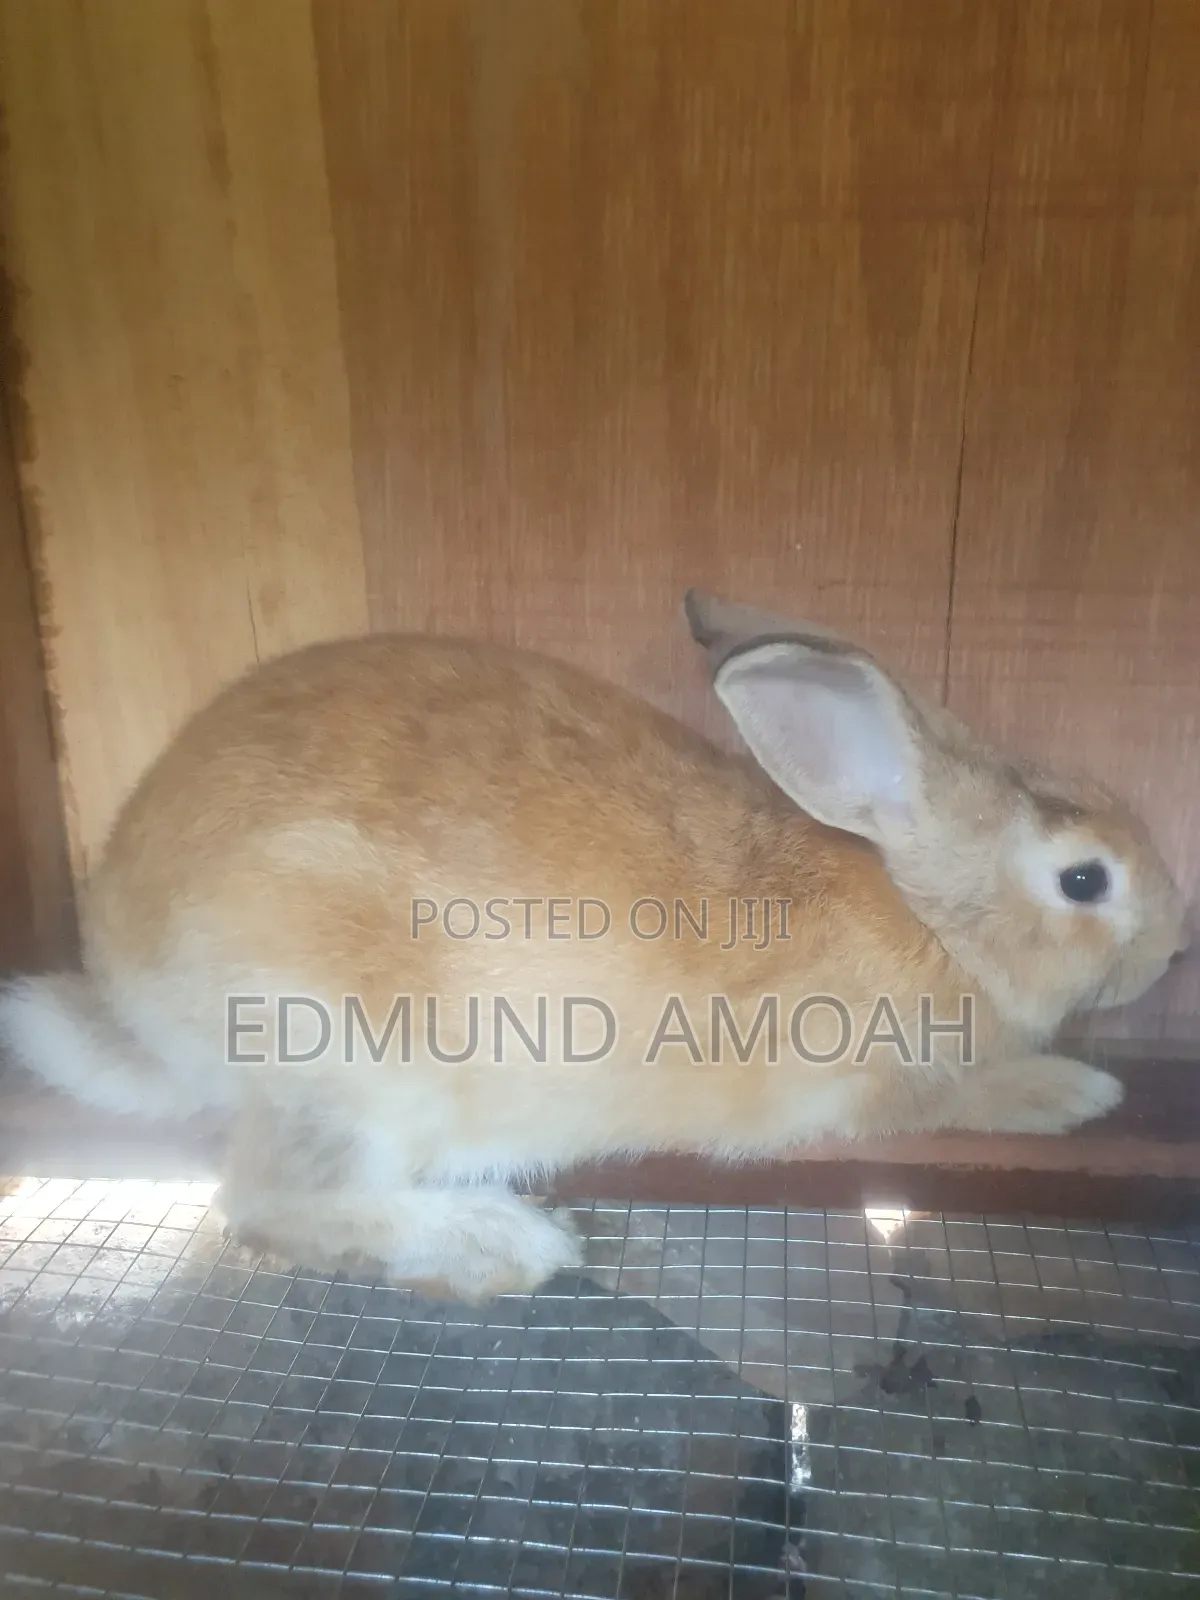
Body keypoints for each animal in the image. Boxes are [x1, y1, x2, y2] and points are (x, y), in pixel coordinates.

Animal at [0, 589, 1188, 1301]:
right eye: (1085, 879)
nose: (1177, 946)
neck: (927, 907)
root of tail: (128, 989)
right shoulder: (868, 1080)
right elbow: (963, 1094)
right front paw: (1076, 1092)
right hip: (347, 1055)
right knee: (269, 1201)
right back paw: (504, 1245)